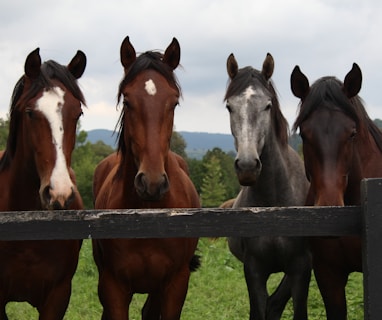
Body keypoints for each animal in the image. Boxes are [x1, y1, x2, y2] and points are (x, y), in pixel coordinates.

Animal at [92, 36, 200, 320]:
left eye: (173, 102)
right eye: (127, 101)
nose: (152, 183)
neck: (146, 217)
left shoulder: (175, 285)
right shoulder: (113, 287)